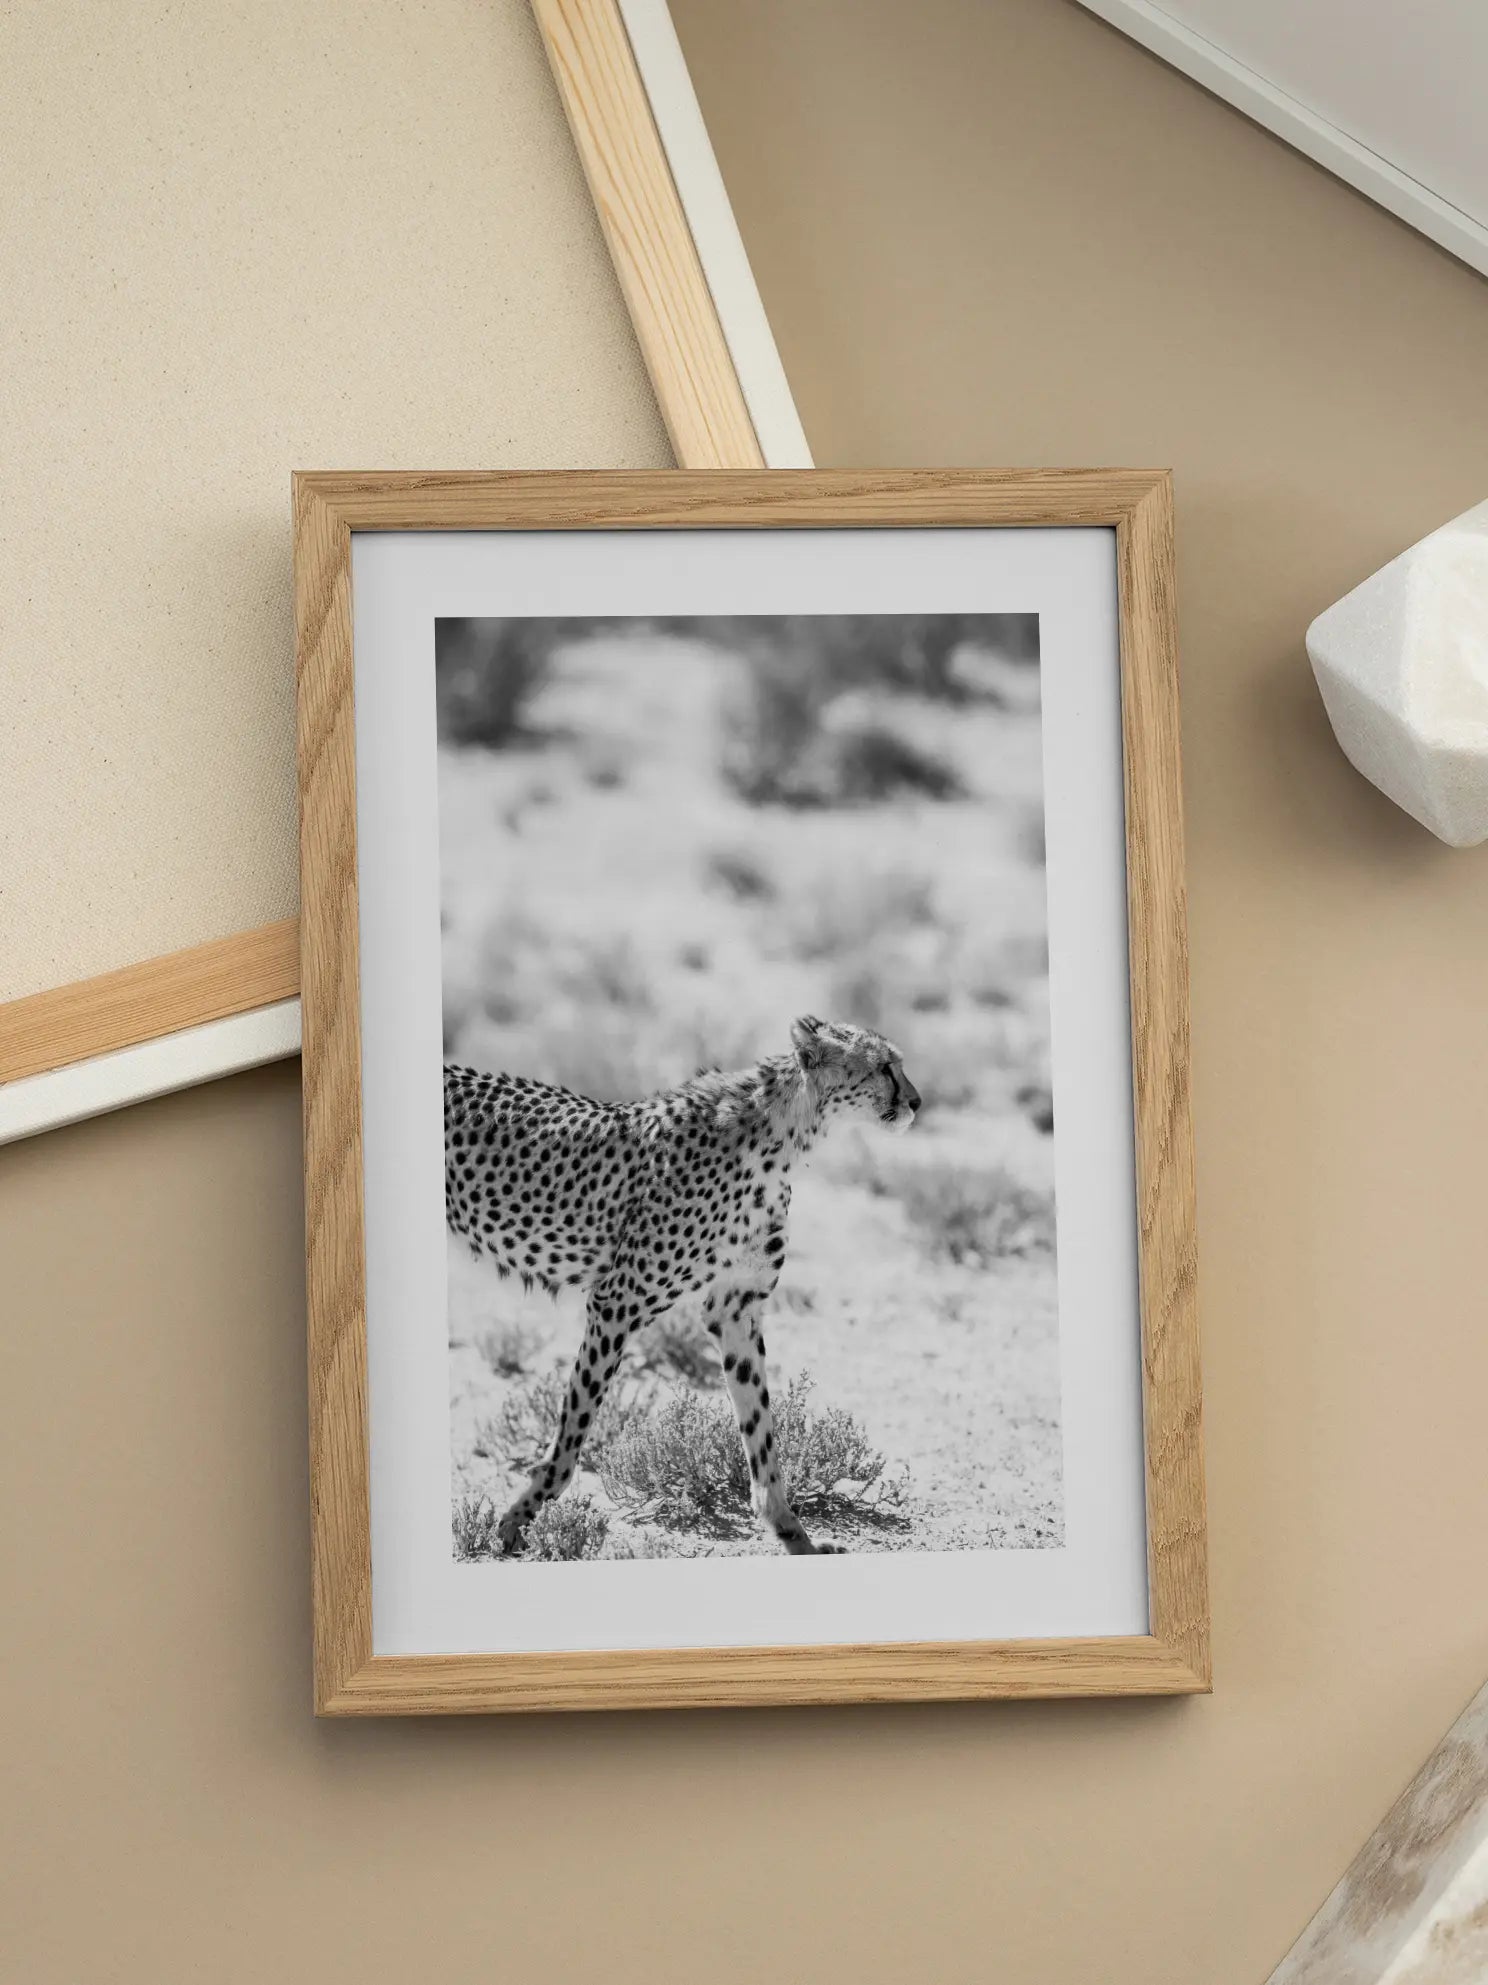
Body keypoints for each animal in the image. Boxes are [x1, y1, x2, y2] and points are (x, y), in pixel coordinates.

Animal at [445, 1014, 921, 1556]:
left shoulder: (735, 1309)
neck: (782, 1135)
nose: (917, 1101)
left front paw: (791, 1532)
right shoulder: (616, 1301)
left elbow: (759, 1425)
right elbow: (574, 1428)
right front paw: (517, 1521)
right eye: (884, 1067)